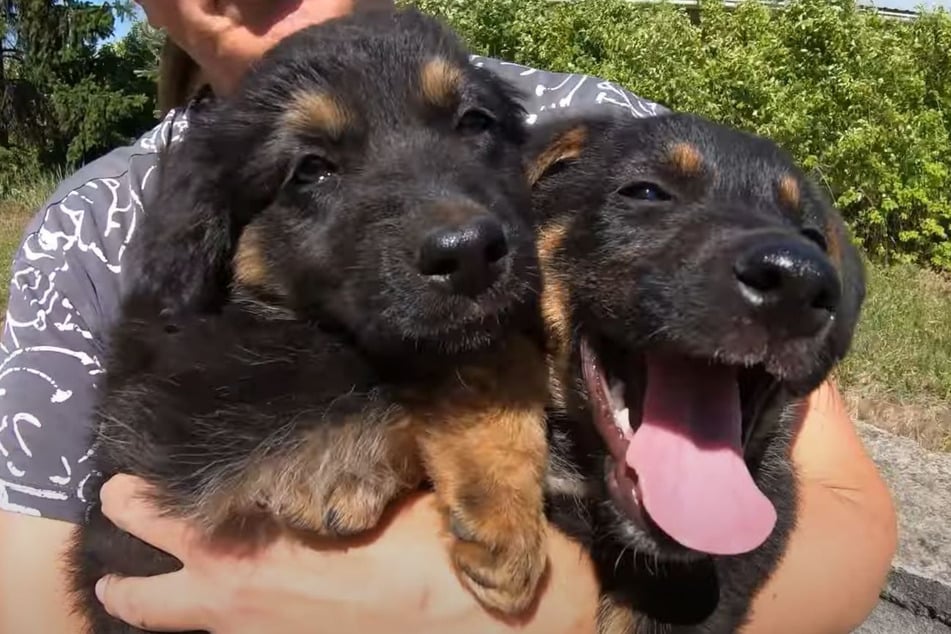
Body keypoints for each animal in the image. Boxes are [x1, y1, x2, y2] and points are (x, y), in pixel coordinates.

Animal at [70, 9, 552, 632]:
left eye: (474, 122)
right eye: (312, 170)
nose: (468, 253)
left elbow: (496, 354)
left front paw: (499, 509)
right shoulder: (178, 410)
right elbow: (330, 389)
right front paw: (342, 475)